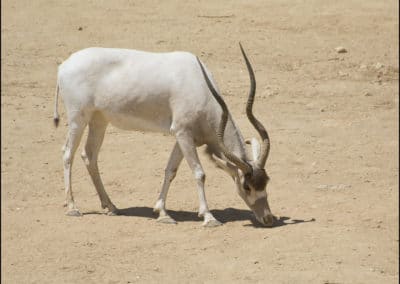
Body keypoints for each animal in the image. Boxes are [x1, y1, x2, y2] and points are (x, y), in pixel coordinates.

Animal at [54, 43, 276, 226]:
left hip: (99, 120)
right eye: (246, 186)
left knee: (89, 155)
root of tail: (64, 66)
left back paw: (111, 206)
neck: (199, 84)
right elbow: (199, 173)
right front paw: (208, 217)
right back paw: (72, 207)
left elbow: (171, 170)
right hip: (78, 118)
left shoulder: (184, 137)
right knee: (67, 153)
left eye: (266, 182)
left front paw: (162, 213)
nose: (268, 219)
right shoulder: (183, 133)